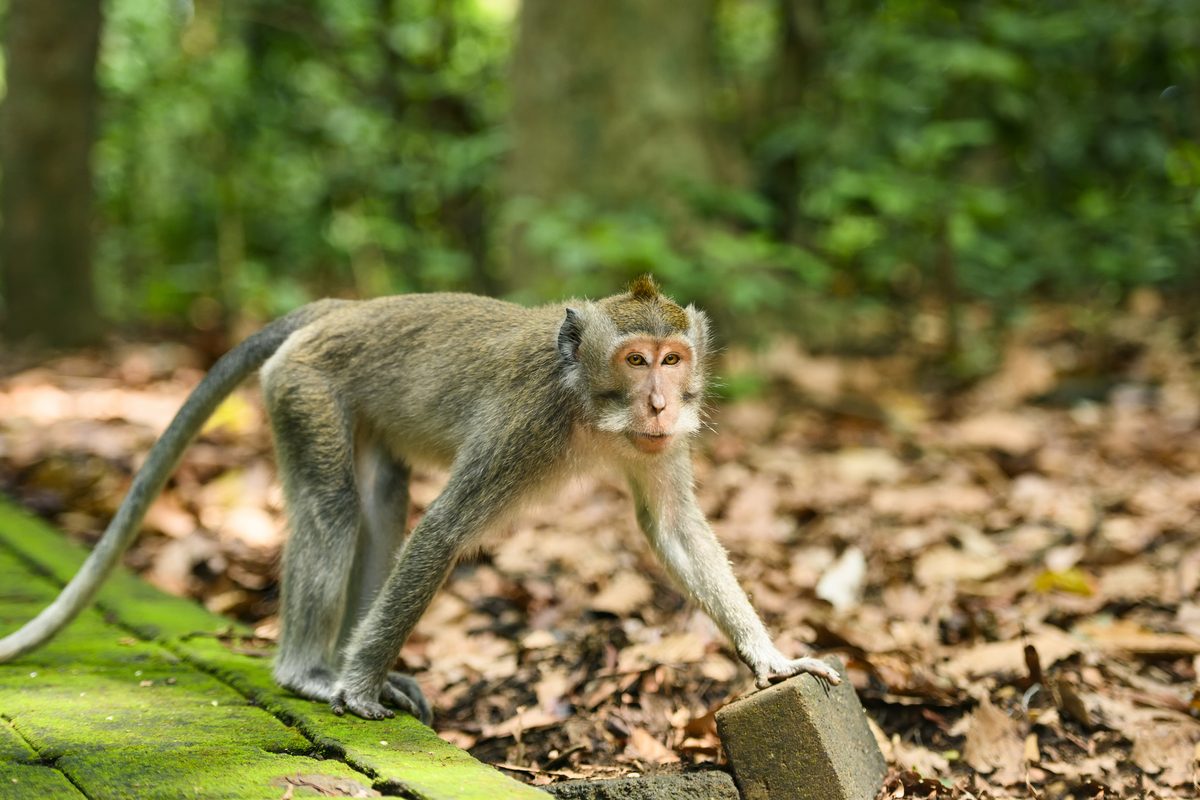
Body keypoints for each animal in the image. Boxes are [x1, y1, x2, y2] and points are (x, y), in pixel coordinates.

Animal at [0, 276, 840, 723]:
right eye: (637, 361)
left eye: (674, 359)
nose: (663, 404)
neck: (586, 404)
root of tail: (340, 307)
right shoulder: (524, 428)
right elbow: (443, 532)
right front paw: (358, 684)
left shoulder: (654, 447)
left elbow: (671, 528)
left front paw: (772, 658)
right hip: (304, 388)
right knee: (335, 509)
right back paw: (312, 670)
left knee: (379, 504)